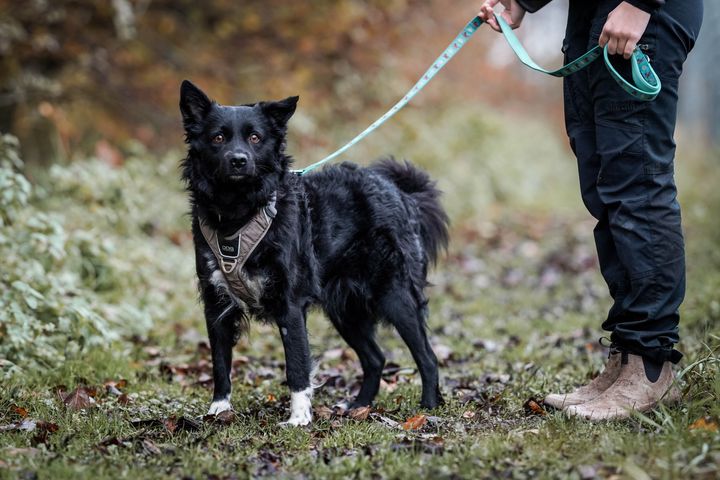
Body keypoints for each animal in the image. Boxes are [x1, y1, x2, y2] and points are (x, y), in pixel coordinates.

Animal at [179, 80, 448, 426]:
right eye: (218, 138)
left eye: (255, 138)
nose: (238, 160)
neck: (238, 210)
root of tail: (399, 190)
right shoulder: (216, 304)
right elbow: (220, 363)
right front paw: (219, 410)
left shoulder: (290, 305)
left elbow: (297, 365)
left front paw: (298, 420)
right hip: (345, 309)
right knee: (375, 358)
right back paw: (359, 406)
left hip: (395, 294)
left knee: (427, 356)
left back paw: (427, 407)